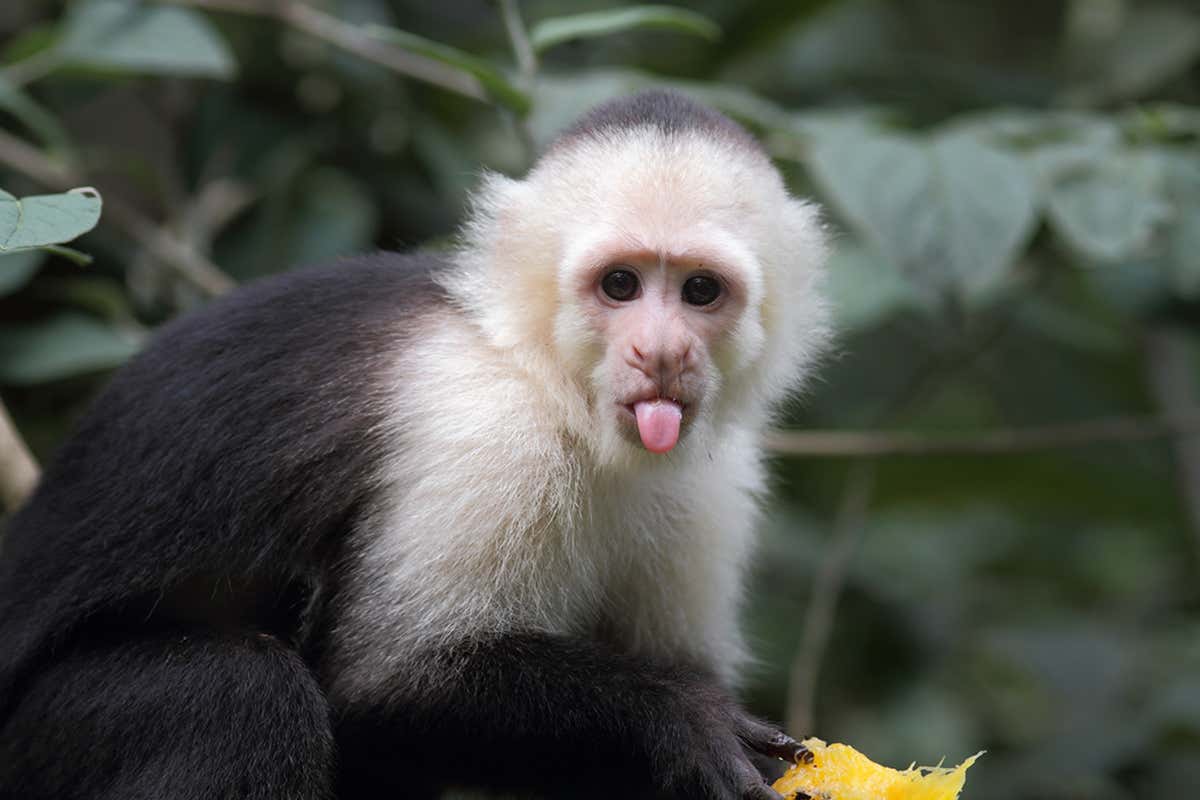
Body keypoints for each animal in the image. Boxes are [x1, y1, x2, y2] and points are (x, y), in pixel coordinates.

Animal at [0, 90, 829, 800]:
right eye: (620, 285)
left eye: (700, 292)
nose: (659, 354)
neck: (554, 390)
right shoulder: (485, 429)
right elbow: (384, 685)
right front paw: (678, 712)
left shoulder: (713, 483)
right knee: (241, 697)